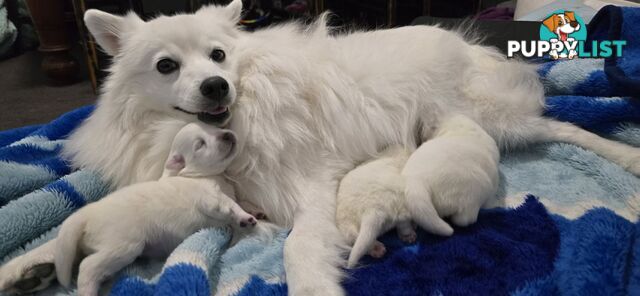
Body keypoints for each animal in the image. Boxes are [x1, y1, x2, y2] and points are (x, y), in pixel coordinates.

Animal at [53, 122, 256, 296]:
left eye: (214, 127)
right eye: (200, 144)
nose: (228, 134)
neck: (196, 175)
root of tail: (86, 213)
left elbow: (236, 203)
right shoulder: (209, 197)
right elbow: (229, 204)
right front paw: (245, 217)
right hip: (124, 244)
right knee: (87, 267)